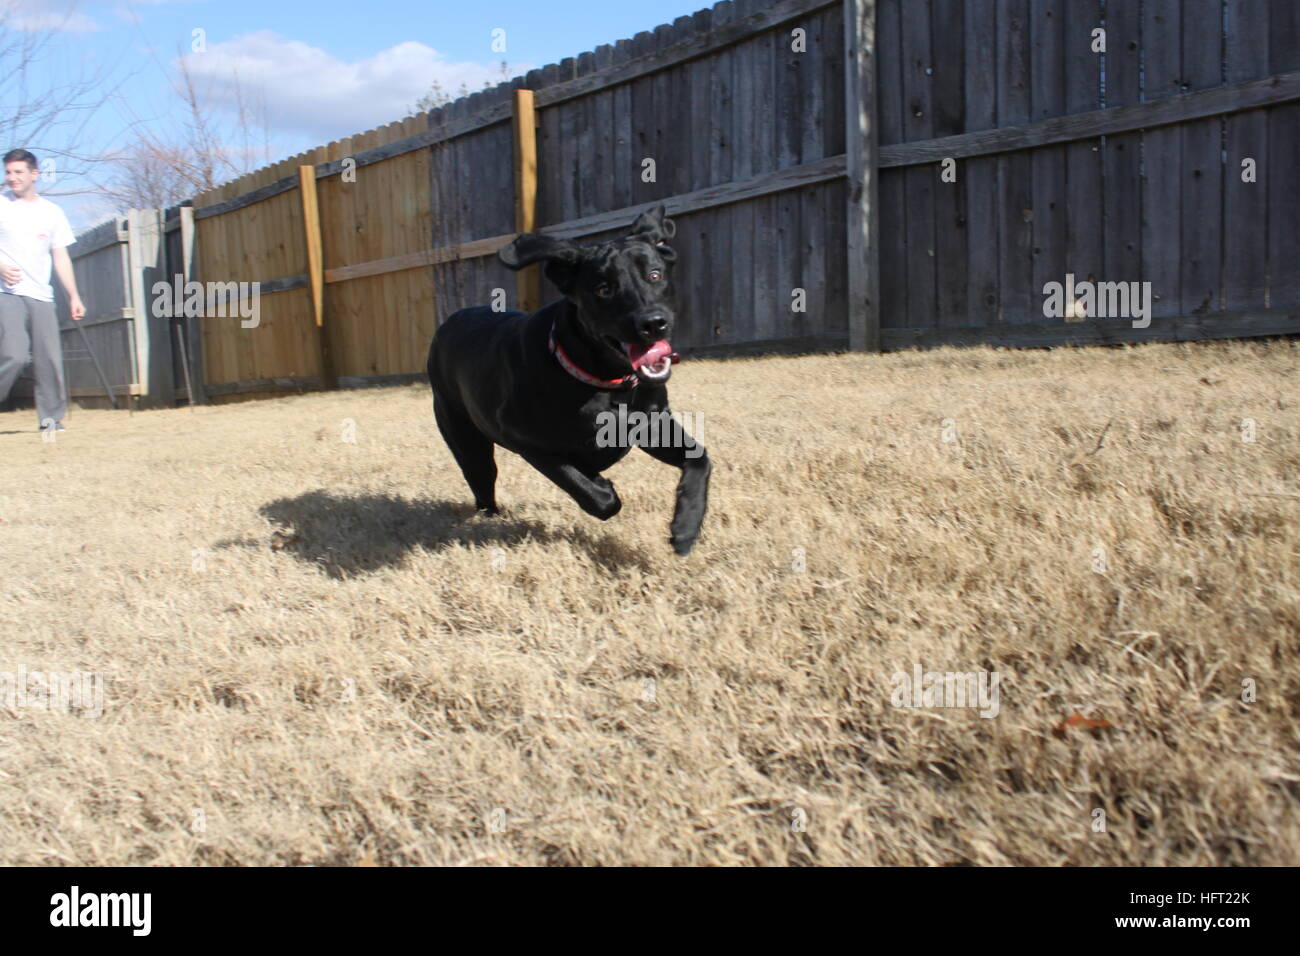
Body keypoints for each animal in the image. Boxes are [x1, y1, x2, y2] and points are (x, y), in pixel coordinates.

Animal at [426, 205, 712, 556]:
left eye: (654, 275)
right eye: (603, 289)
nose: (653, 323)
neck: (605, 383)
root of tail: (448, 323)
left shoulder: (651, 424)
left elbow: (700, 460)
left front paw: (685, 528)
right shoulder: (525, 439)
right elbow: (591, 491)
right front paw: (601, 486)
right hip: (466, 438)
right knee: (482, 482)